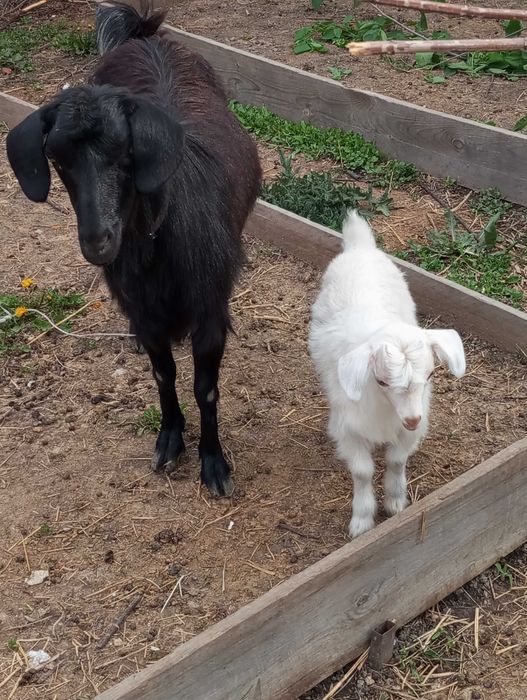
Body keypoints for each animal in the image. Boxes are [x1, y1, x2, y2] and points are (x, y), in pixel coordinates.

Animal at [6, 2, 262, 497]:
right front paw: (169, 440)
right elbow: (164, 374)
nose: (97, 240)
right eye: (57, 159)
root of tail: (144, 35)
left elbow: (206, 388)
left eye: (126, 152)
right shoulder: (145, 310)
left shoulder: (209, 309)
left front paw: (214, 463)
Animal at [309, 211, 466, 537]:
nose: (413, 418)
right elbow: (362, 471)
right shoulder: (349, 428)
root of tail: (361, 246)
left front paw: (395, 502)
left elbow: (396, 459)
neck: (384, 408)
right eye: (381, 381)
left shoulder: (409, 431)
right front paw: (361, 520)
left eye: (430, 375)